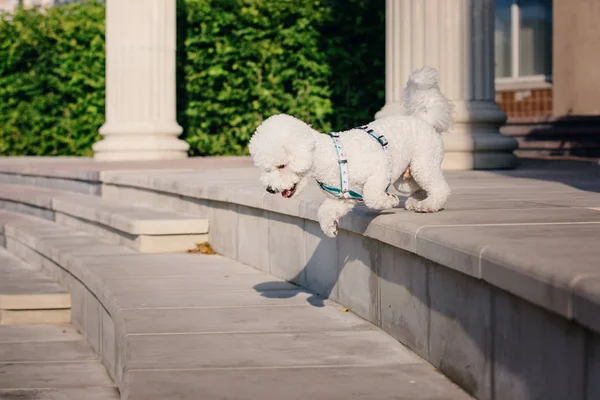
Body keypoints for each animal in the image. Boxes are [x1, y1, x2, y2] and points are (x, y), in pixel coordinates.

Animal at [247, 67, 450, 238]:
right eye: (266, 169)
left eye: (281, 166)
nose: (270, 189)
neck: (332, 157)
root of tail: (424, 119)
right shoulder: (344, 197)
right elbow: (325, 211)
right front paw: (330, 229)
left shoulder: (381, 170)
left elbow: (371, 197)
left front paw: (390, 201)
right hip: (405, 178)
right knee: (419, 188)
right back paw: (416, 202)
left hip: (423, 164)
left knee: (441, 188)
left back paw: (429, 205)